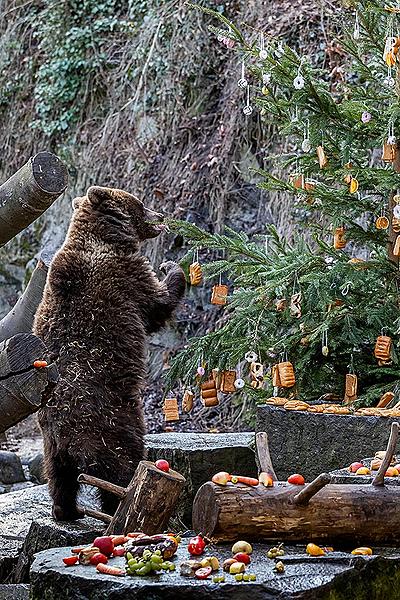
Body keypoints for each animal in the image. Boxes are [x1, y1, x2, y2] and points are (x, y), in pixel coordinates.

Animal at [32, 188, 186, 520]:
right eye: (141, 204)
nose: (161, 215)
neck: (106, 237)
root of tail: (67, 438)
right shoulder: (125, 276)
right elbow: (157, 302)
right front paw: (171, 267)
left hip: (50, 443)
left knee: (58, 476)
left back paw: (66, 510)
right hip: (112, 422)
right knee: (119, 465)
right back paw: (119, 504)